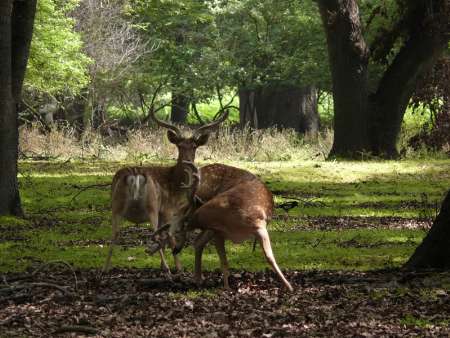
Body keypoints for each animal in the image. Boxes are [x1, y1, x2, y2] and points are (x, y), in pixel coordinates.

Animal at [102, 106, 229, 274]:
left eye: (194, 147)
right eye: (179, 146)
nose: (188, 161)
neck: (176, 184)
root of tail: (134, 175)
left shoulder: (164, 213)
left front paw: (163, 265)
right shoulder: (168, 210)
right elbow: (169, 236)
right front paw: (178, 267)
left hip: (115, 205)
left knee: (114, 234)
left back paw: (105, 268)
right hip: (151, 205)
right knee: (154, 234)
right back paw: (169, 269)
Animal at [172, 162, 296, 292]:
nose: (175, 248)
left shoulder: (258, 227)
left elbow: (269, 257)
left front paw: (289, 286)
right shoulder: (219, 231)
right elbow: (225, 261)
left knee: (197, 240)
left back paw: (197, 278)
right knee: (198, 240)